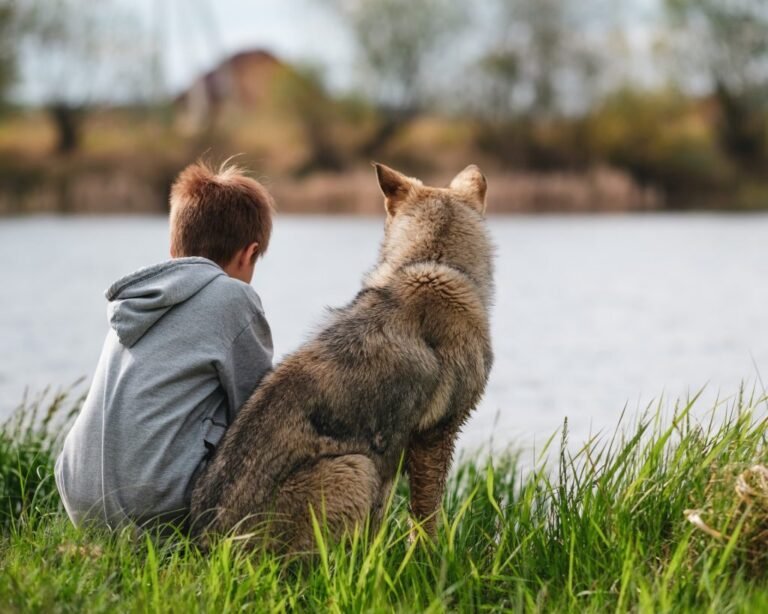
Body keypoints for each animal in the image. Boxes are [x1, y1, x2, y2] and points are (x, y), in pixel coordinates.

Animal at [190, 163, 494, 551]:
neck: (432, 263)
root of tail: (208, 546)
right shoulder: (435, 436)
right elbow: (427, 518)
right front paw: (430, 558)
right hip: (355, 468)